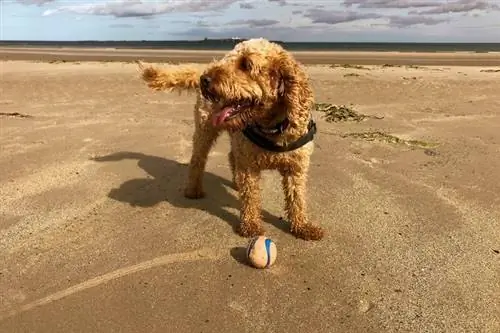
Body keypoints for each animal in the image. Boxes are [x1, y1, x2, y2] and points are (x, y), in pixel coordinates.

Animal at [137, 37, 324, 240]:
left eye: (246, 64)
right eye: (228, 60)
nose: (205, 80)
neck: (271, 128)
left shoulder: (296, 168)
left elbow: (297, 199)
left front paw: (302, 226)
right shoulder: (249, 167)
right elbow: (250, 198)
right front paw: (250, 225)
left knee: (231, 155)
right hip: (205, 131)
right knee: (197, 160)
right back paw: (193, 189)